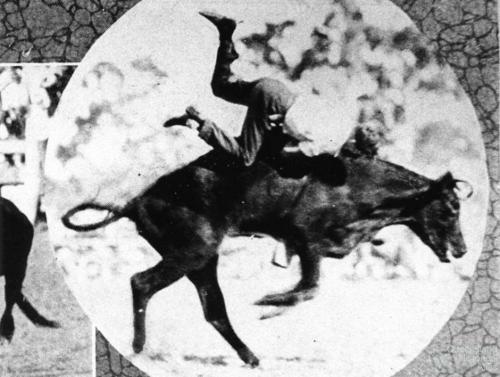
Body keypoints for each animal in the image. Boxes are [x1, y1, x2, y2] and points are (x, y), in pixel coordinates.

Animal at [62, 148, 472, 366]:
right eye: (451, 207)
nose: (463, 249)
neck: (360, 186)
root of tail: (135, 201)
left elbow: (309, 288)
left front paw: (271, 306)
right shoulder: (306, 238)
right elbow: (310, 287)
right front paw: (268, 304)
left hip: (202, 262)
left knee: (214, 310)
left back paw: (251, 357)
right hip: (192, 253)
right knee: (141, 282)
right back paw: (138, 347)